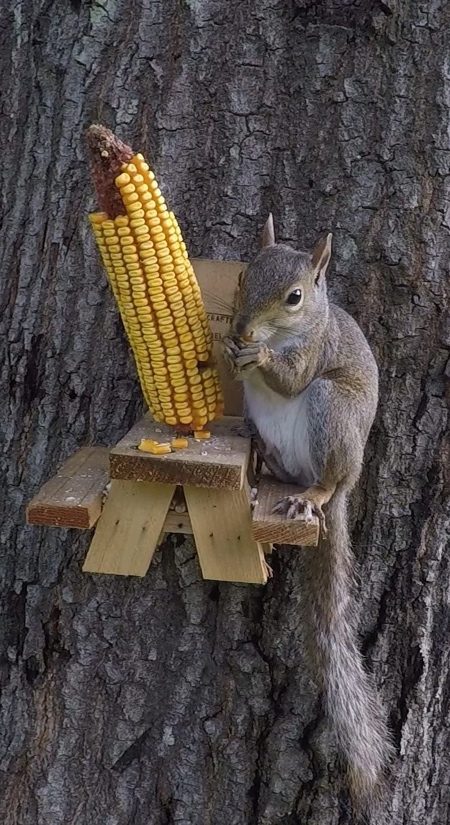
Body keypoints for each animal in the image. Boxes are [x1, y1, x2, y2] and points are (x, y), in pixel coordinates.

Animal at [222, 212, 394, 812]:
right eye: (244, 273)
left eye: (295, 297)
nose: (242, 332)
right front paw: (220, 343)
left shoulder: (315, 354)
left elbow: (290, 377)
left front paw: (261, 358)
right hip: (271, 428)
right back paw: (260, 455)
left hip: (331, 415)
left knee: (324, 479)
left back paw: (313, 496)